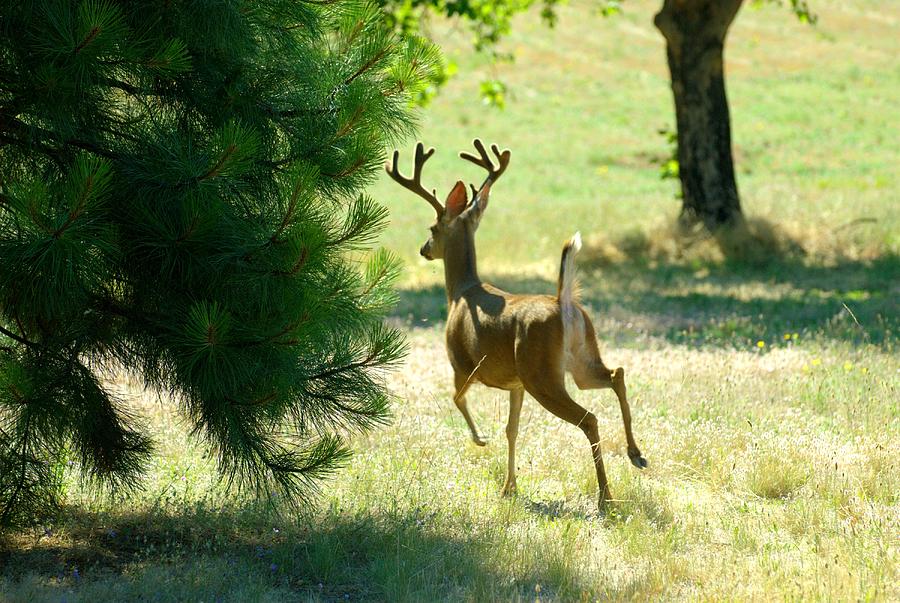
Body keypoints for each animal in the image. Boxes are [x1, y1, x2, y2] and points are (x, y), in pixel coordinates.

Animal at [385, 139, 648, 510]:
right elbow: (512, 429)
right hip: (578, 360)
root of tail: (564, 303)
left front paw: (480, 439)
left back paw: (605, 496)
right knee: (617, 374)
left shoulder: (463, 364)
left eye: (432, 229)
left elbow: (457, 399)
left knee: (589, 418)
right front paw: (510, 487)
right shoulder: (515, 384)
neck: (461, 293)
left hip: (541, 372)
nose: (424, 249)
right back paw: (636, 454)